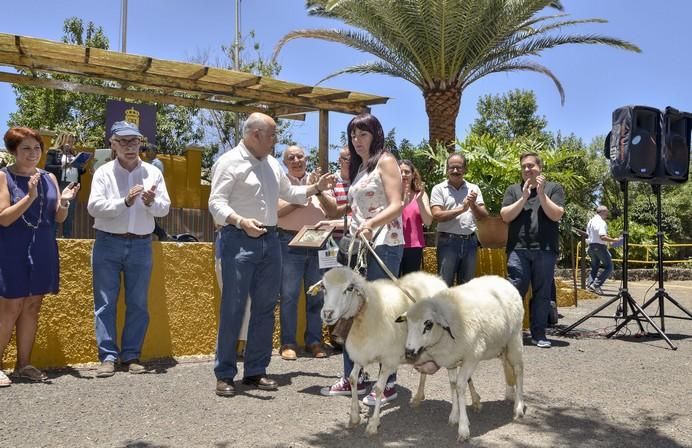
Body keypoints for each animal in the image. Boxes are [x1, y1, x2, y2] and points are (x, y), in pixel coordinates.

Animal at [400, 274, 524, 442]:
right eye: (408, 323)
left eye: (428, 324)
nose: (409, 352)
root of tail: (503, 280)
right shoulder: (451, 360)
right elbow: (453, 385)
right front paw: (454, 416)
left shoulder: (472, 357)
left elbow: (460, 386)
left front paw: (463, 428)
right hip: (503, 344)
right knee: (509, 368)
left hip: (514, 339)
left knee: (518, 370)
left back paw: (519, 407)